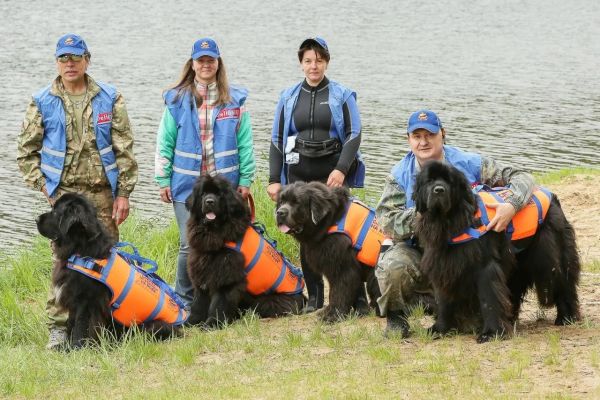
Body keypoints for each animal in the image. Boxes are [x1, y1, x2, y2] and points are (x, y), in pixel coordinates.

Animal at [36, 192, 182, 348]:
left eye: (55, 211)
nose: (36, 219)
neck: (81, 249)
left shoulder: (85, 299)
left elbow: (80, 325)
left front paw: (76, 347)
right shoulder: (73, 298)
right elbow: (71, 322)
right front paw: (64, 345)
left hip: (153, 325)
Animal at [185, 175, 304, 328]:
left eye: (219, 194)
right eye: (203, 193)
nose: (209, 201)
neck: (215, 232)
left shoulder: (227, 275)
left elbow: (219, 303)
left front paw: (213, 323)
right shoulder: (202, 268)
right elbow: (199, 301)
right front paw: (191, 322)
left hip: (265, 301)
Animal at [276, 181, 382, 322]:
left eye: (296, 202)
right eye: (282, 201)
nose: (279, 212)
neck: (331, 220)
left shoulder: (342, 267)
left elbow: (338, 291)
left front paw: (332, 315)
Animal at [414, 161, 580, 342]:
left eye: (449, 181)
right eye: (429, 181)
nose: (439, 190)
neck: (449, 222)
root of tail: (552, 196)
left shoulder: (485, 266)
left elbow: (489, 298)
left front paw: (491, 333)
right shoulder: (443, 264)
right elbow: (444, 300)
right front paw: (440, 329)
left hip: (549, 256)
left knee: (563, 280)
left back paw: (567, 317)